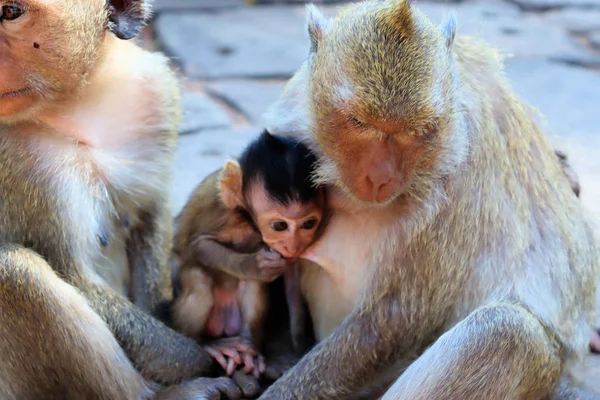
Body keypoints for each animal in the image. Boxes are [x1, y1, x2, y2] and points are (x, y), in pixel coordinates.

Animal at [0, 0, 244, 398]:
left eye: (10, 12)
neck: (76, 107)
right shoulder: (20, 170)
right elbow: (74, 274)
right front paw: (207, 354)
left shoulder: (154, 92)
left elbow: (149, 213)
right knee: (13, 270)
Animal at [171, 130, 326, 378]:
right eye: (279, 226)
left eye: (308, 224)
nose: (293, 245)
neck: (247, 219)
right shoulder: (221, 214)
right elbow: (198, 245)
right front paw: (255, 265)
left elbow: (291, 282)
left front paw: (300, 347)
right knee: (198, 281)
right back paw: (207, 343)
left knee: (253, 286)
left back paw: (251, 350)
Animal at [262, 0, 600, 400]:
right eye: (360, 123)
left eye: (419, 131)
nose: (381, 176)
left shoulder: (460, 179)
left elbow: (394, 317)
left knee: (507, 333)